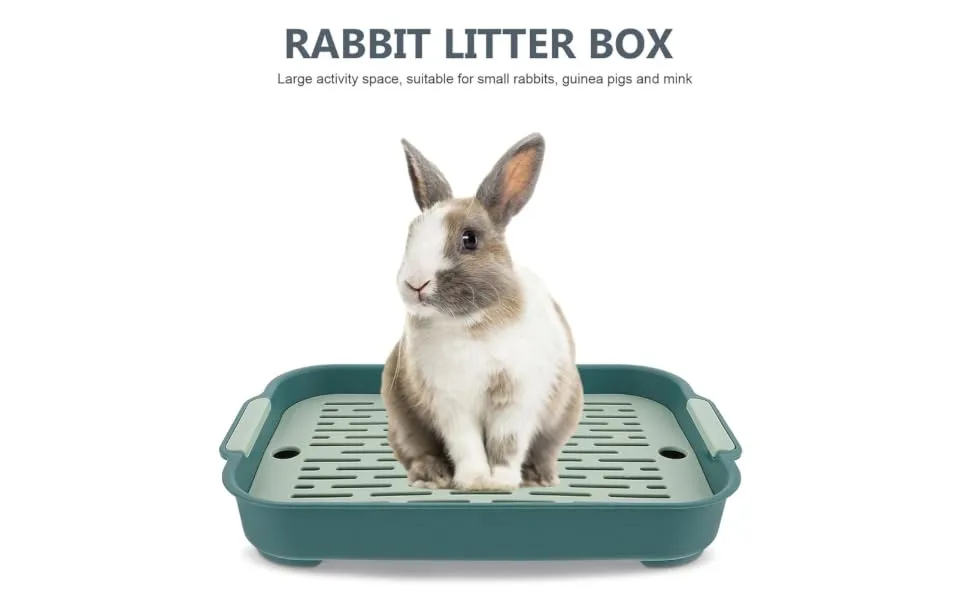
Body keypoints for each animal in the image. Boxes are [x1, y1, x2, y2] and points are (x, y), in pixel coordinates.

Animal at [380, 132, 583, 491]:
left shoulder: (517, 399)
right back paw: (433, 476)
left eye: (469, 239)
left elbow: (507, 444)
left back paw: (540, 477)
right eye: (411, 234)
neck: (471, 324)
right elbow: (467, 444)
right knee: (416, 451)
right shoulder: (451, 404)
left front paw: (500, 482)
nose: (415, 283)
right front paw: (475, 481)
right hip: (402, 422)